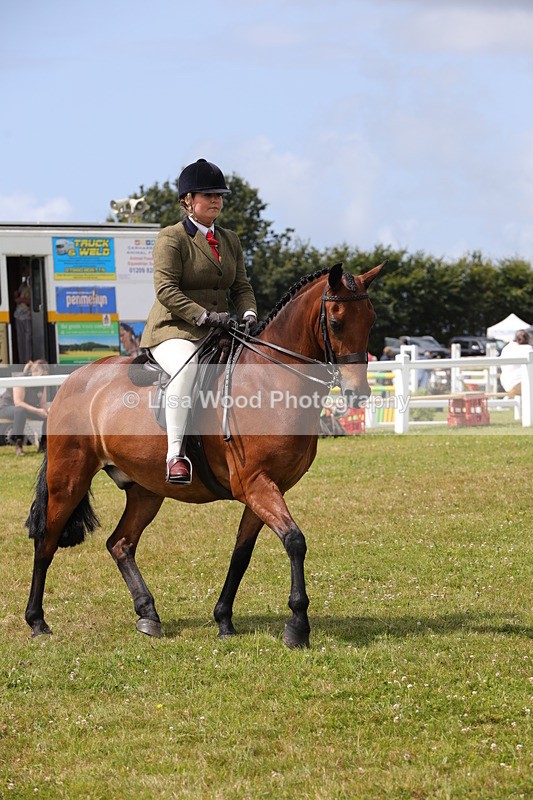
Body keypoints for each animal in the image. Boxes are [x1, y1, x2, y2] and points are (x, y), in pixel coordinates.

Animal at [25, 261, 382, 647]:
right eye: (336, 321)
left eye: (371, 319)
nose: (358, 393)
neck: (271, 380)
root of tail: (73, 379)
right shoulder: (256, 485)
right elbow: (294, 541)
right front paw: (297, 625)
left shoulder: (266, 489)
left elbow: (241, 554)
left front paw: (224, 620)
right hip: (68, 479)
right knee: (46, 542)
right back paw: (37, 620)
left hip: (146, 490)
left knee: (120, 543)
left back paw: (148, 615)